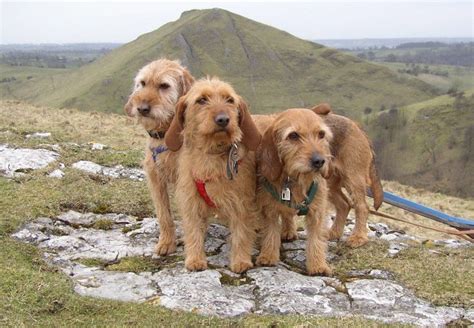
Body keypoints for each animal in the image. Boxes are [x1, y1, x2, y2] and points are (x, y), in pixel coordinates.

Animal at [125, 59, 195, 255]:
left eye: (164, 85)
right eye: (142, 83)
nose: (142, 108)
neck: (166, 135)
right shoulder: (155, 179)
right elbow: (164, 214)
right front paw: (166, 242)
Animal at [166, 77, 262, 274]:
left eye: (230, 100)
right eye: (202, 100)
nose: (223, 119)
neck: (212, 156)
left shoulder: (242, 204)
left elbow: (241, 233)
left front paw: (240, 260)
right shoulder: (191, 201)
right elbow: (193, 230)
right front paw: (195, 259)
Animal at [286, 104, 382, 247]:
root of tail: (356, 125)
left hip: (353, 178)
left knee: (362, 207)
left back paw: (358, 237)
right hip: (329, 183)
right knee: (344, 204)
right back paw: (334, 233)